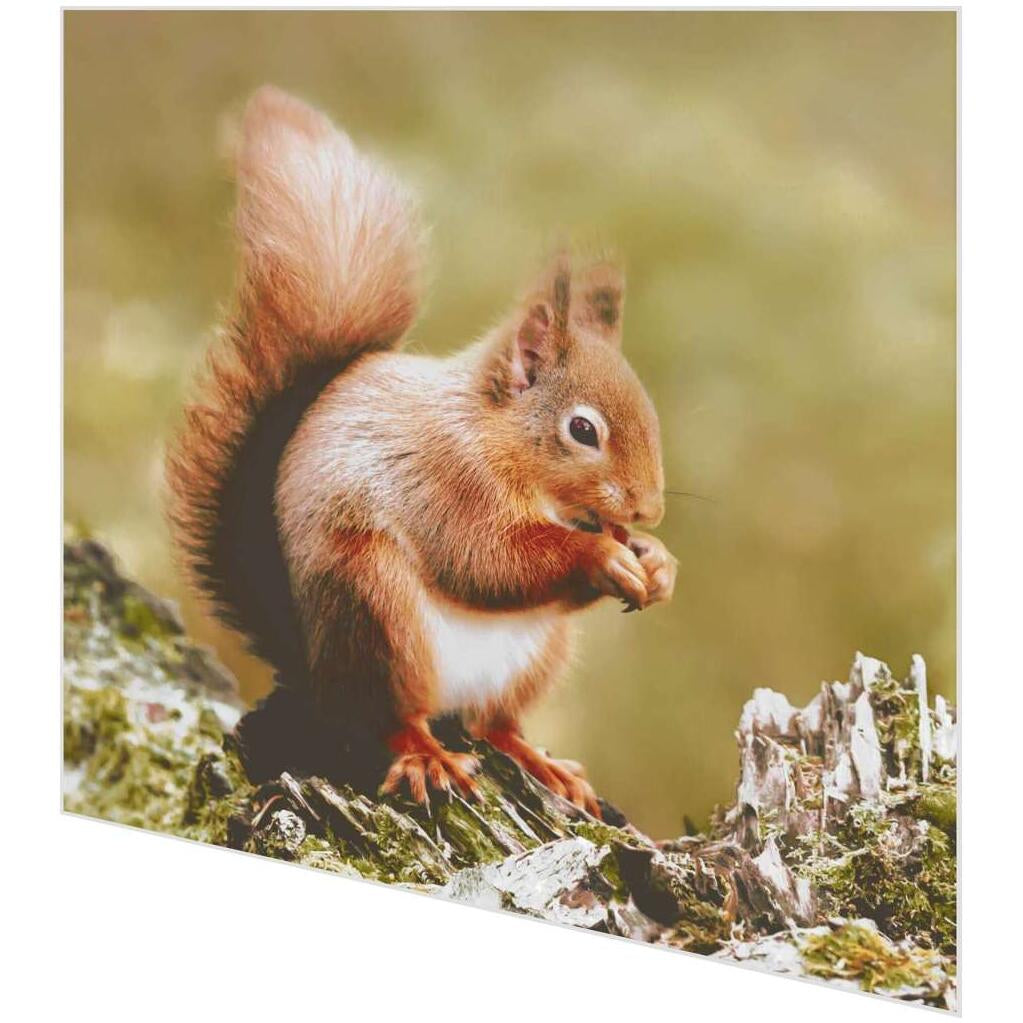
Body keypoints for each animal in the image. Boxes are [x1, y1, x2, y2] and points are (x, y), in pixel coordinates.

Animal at [167, 86, 677, 818]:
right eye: (583, 431)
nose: (649, 510)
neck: (495, 437)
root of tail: (318, 674)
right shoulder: (445, 480)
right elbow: (487, 560)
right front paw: (600, 556)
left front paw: (658, 565)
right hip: (374, 608)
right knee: (396, 717)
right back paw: (427, 757)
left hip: (534, 654)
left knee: (493, 723)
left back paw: (543, 764)